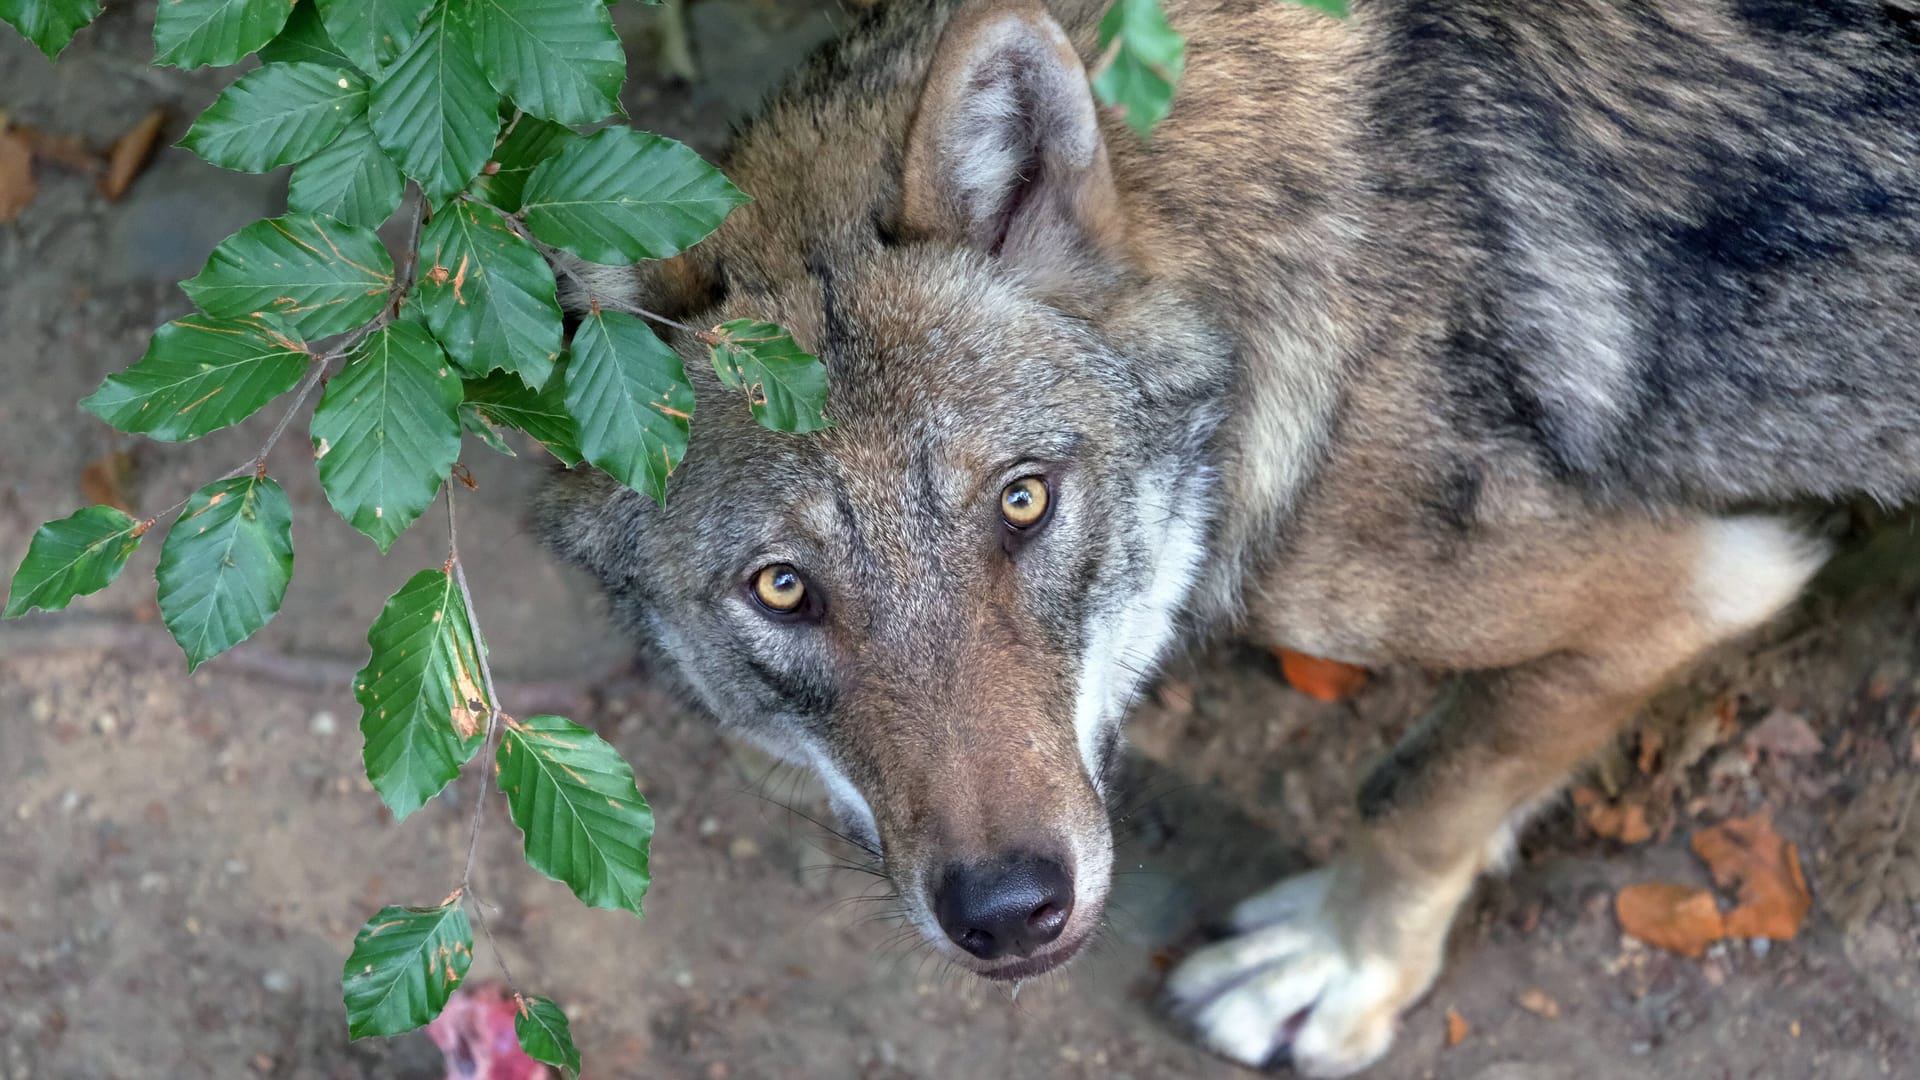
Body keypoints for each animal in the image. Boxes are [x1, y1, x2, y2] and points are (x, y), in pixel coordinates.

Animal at [533, 2, 1920, 1068]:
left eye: (1022, 502)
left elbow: (1422, 792)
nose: (1010, 913)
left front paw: (1334, 968)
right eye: (782, 588)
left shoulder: (1703, 580)